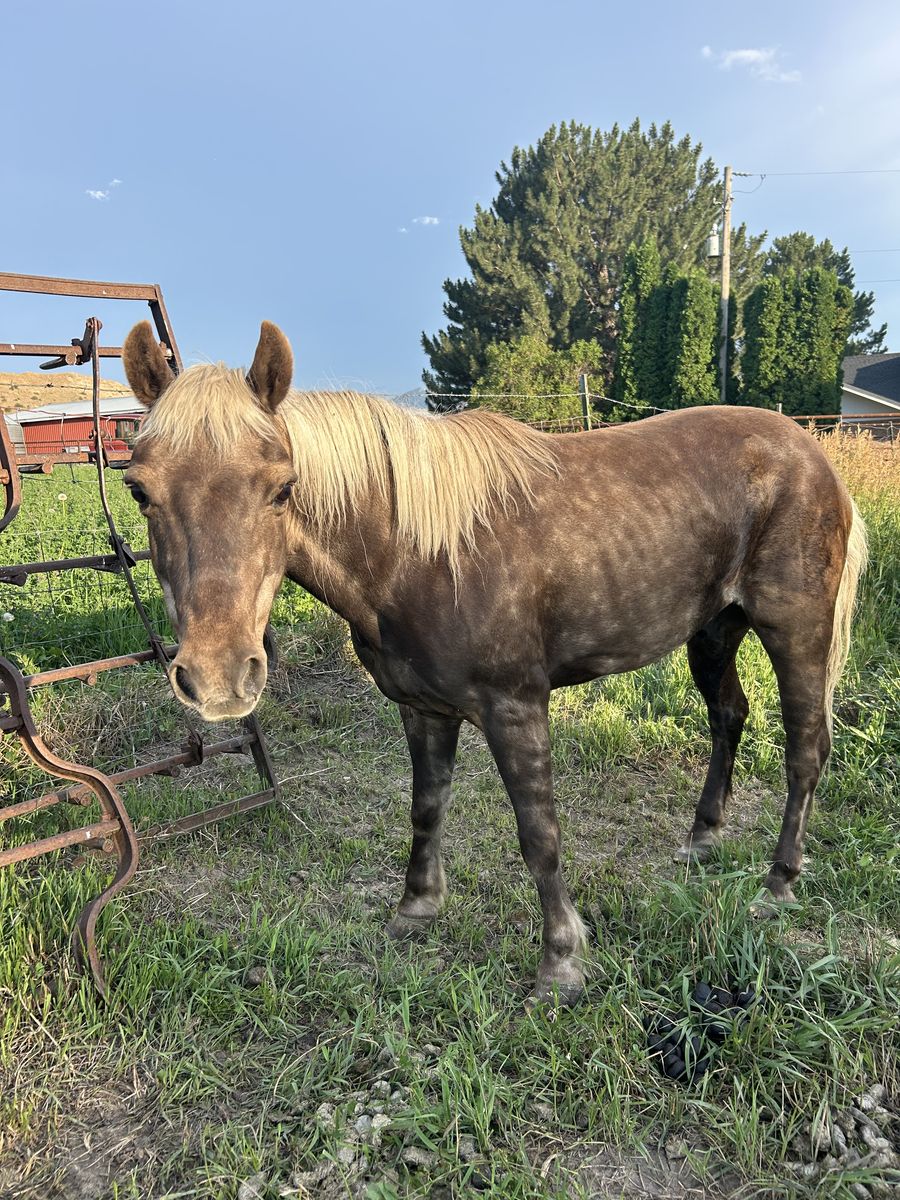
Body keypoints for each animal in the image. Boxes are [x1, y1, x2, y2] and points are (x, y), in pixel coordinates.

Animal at [121, 320, 867, 1006]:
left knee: (806, 750)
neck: (419, 554)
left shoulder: (515, 707)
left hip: (795, 629)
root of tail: (810, 451)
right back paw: (702, 838)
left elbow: (539, 834)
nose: (219, 678)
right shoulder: (422, 709)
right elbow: (426, 807)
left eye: (281, 488)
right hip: (713, 631)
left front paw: (561, 963)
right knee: (728, 716)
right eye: (140, 491)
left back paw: (778, 882)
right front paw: (415, 909)